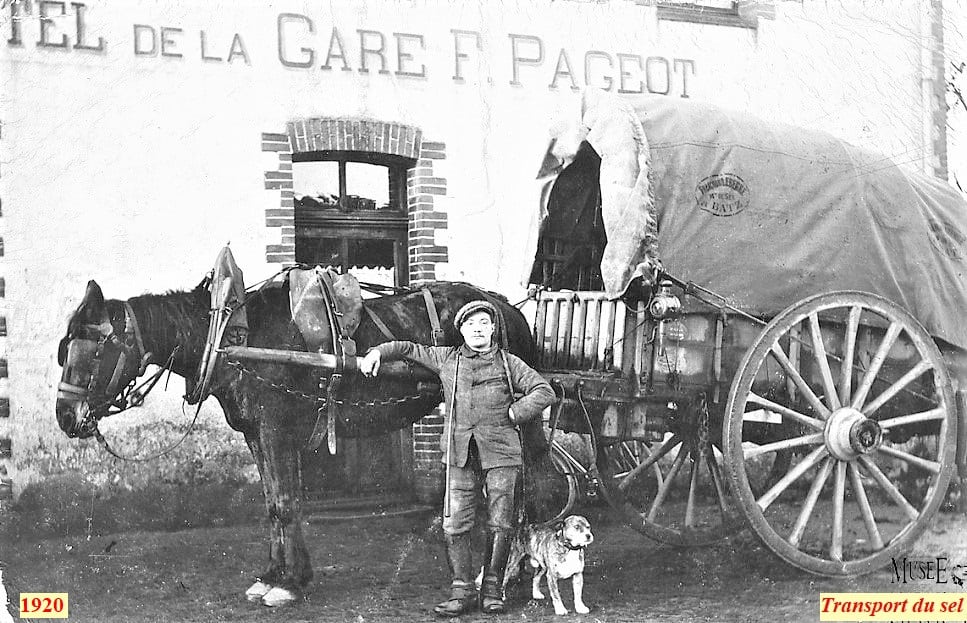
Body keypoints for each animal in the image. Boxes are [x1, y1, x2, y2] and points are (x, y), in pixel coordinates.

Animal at [54, 276, 552, 604]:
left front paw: (288, 583)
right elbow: (274, 503)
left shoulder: (276, 431)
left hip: (520, 422)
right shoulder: (258, 435)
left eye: (96, 349)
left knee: (526, 487)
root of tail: (506, 306)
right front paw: (275, 574)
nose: (65, 416)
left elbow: (287, 502)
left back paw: (511, 572)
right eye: (65, 348)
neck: (233, 335)